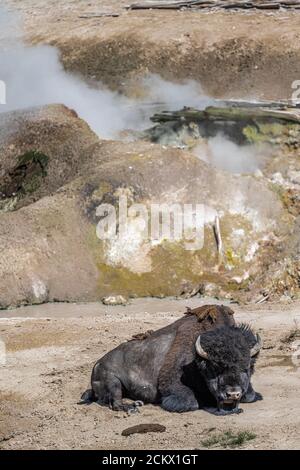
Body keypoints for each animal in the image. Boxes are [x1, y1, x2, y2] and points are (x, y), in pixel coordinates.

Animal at [81, 304, 262, 414]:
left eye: (247, 367)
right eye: (214, 368)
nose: (233, 394)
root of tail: (97, 365)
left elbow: (251, 396)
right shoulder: (172, 382)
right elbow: (189, 402)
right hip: (113, 382)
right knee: (115, 402)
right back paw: (132, 407)